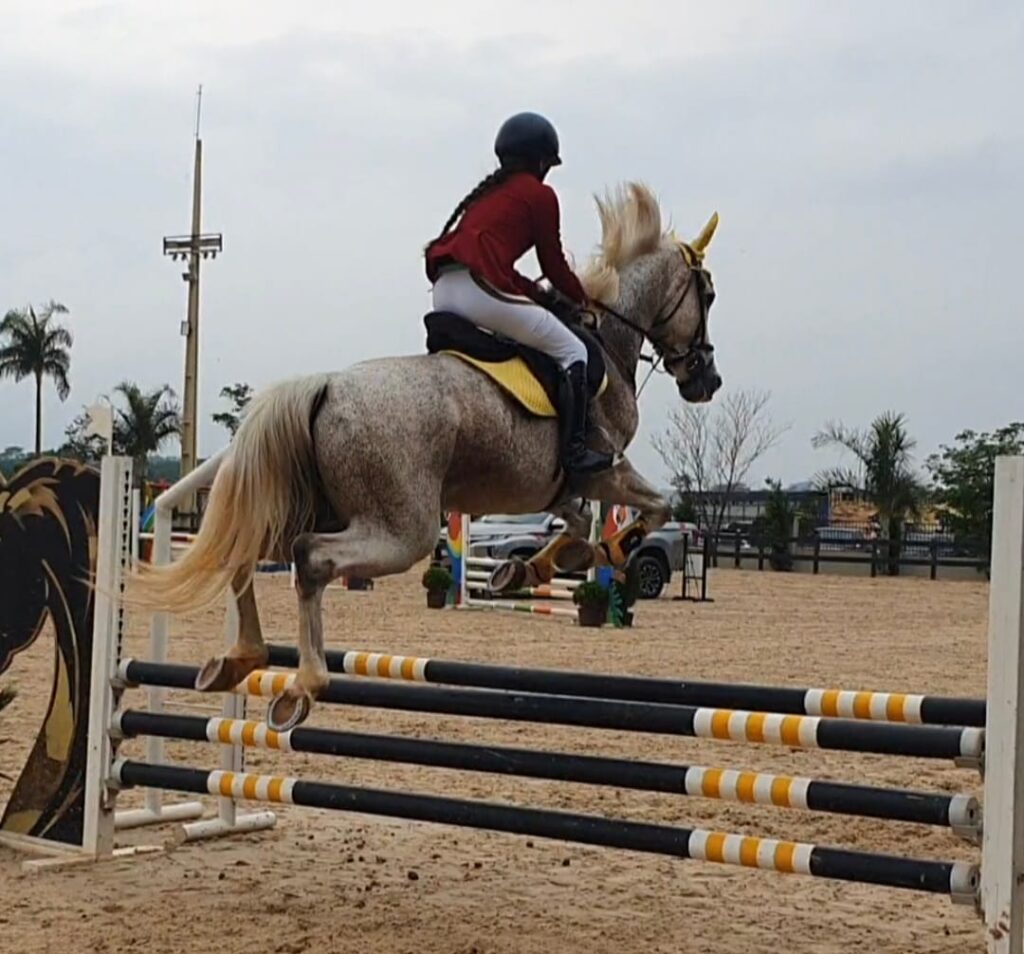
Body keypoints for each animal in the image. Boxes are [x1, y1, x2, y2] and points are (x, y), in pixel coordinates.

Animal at [132, 184, 724, 728]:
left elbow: (575, 521)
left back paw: (241, 658)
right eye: (708, 294)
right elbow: (655, 508)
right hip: (402, 531)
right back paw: (304, 682)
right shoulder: (606, 472)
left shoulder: (552, 485)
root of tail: (325, 385)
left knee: (245, 551)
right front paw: (607, 551)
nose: (707, 381)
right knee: (311, 558)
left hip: (318, 509)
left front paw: (527, 568)